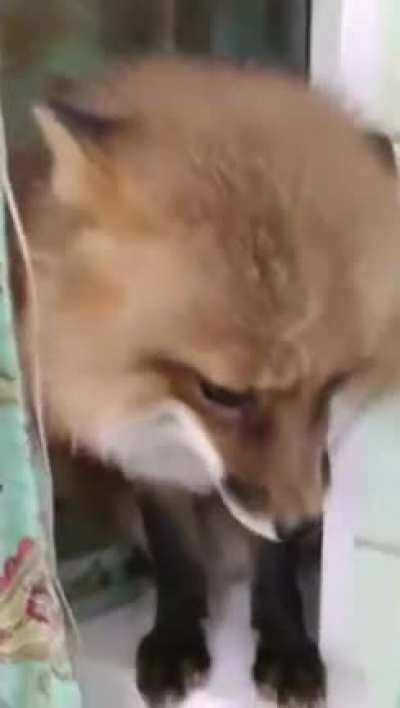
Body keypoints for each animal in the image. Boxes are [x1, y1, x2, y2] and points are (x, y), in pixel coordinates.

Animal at [10, 58, 400, 706]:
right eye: (221, 393)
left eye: (333, 384)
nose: (306, 525)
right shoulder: (141, 447)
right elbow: (176, 554)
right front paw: (176, 633)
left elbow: (272, 566)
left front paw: (287, 643)